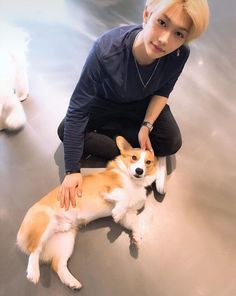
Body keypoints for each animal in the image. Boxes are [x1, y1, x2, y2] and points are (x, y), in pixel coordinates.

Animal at [16, 136, 157, 290]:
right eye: (133, 157)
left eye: (148, 162)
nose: (139, 170)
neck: (134, 182)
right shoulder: (107, 190)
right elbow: (123, 197)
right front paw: (117, 213)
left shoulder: (129, 214)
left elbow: (135, 223)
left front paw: (137, 237)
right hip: (44, 226)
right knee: (34, 249)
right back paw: (33, 272)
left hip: (66, 241)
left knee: (57, 264)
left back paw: (71, 282)